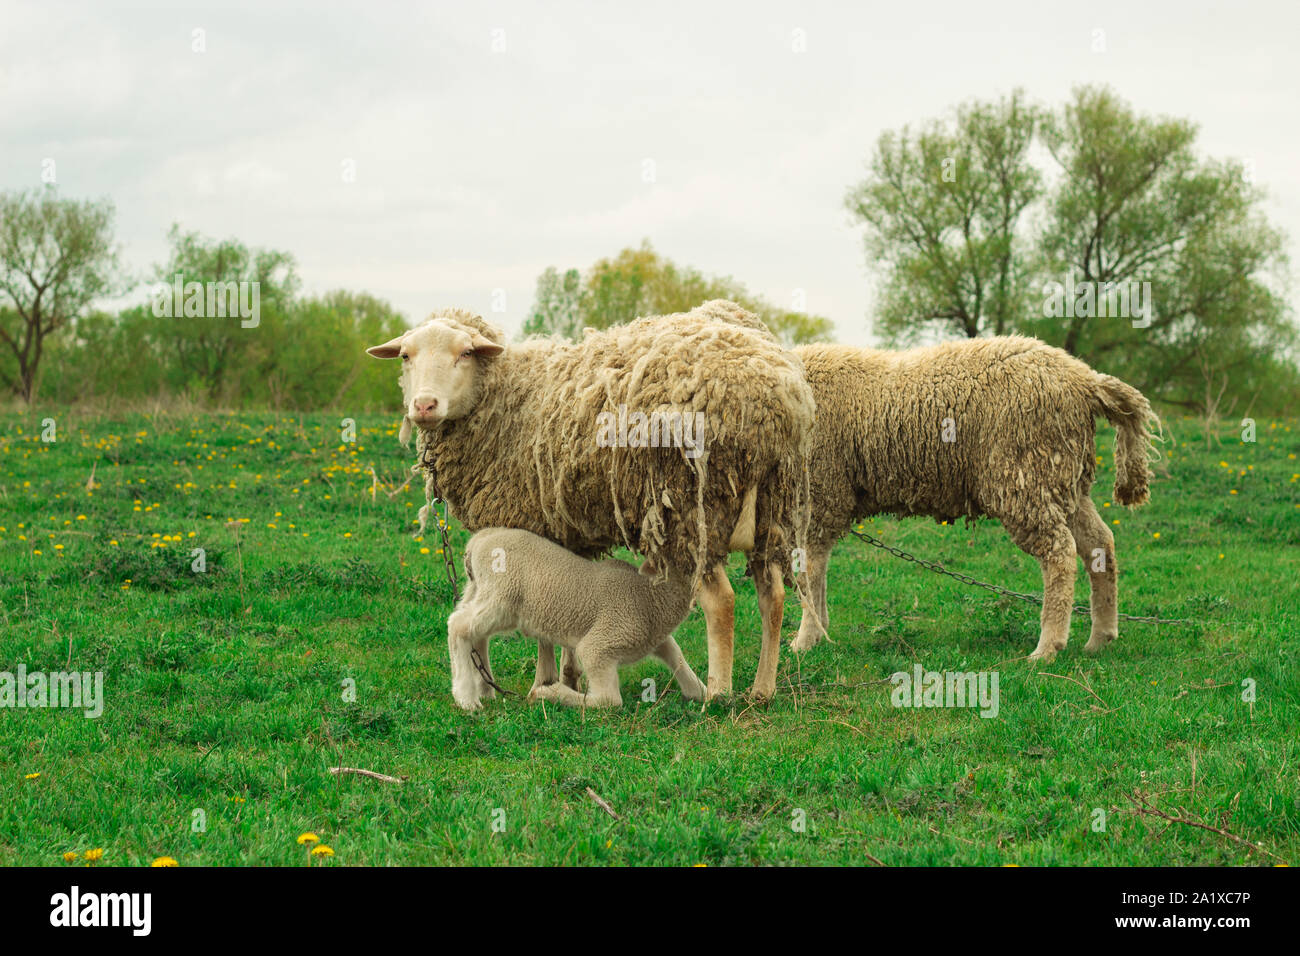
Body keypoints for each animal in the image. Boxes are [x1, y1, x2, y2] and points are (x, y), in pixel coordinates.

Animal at [446, 527, 704, 710]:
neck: (652, 598)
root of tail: (479, 540)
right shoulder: (600, 645)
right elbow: (609, 701)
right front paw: (547, 693)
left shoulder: (655, 637)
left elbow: (678, 656)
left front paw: (702, 692)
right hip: (502, 596)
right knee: (458, 626)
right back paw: (466, 698)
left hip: (481, 591)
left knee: (475, 634)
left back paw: (484, 690)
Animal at [787, 336, 1158, 663]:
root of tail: (1084, 379)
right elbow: (816, 569)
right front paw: (818, 634)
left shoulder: (822, 493)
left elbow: (810, 570)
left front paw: (806, 639)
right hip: (1064, 481)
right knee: (1099, 543)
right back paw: (1100, 638)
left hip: (1026, 476)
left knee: (1060, 553)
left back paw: (1047, 648)